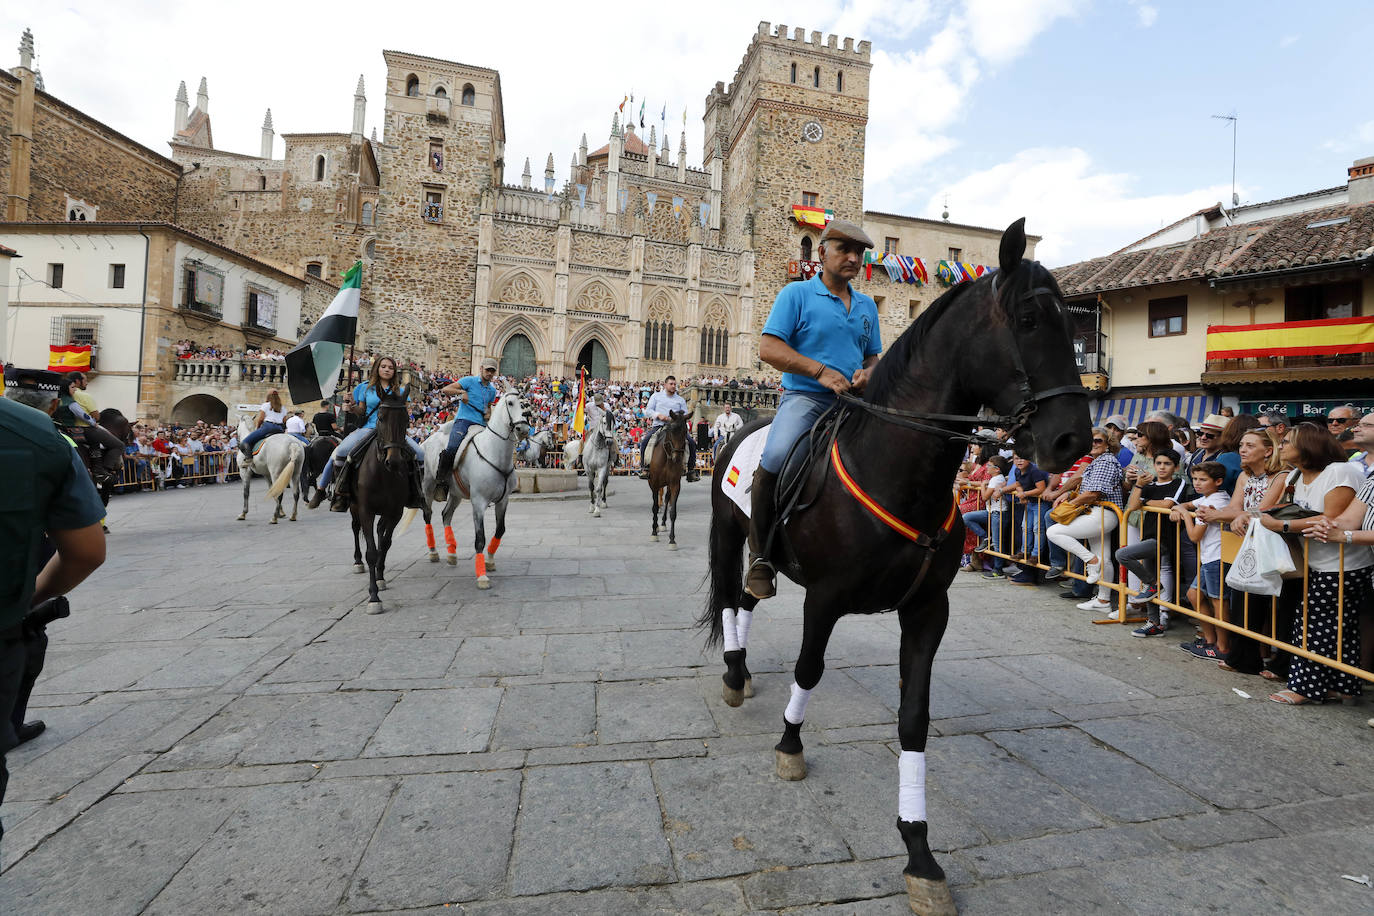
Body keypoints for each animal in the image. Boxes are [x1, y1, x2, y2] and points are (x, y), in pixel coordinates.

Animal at [351, 392, 409, 612]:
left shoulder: (395, 511)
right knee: (355, 527)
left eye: (406, 419)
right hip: (353, 507)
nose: (394, 461)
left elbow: (385, 543)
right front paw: (373, 597)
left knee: (381, 530)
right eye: (381, 417)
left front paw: (380, 577)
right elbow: (371, 552)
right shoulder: (365, 510)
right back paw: (357, 562)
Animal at [414, 392, 527, 587]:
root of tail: (427, 440)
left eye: (526, 405)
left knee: (446, 515)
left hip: (456, 493)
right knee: (428, 515)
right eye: (511, 403)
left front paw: (489, 561)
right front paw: (482, 576)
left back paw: (452, 554)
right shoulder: (479, 502)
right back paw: (434, 552)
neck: (494, 453)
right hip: (428, 485)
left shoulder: (503, 500)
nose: (524, 429)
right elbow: (480, 538)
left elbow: (500, 530)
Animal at [643, 409, 687, 552]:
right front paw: (654, 533)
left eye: (686, 432)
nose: (677, 457)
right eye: (671, 431)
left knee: (667, 499)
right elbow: (655, 507)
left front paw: (672, 540)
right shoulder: (654, 484)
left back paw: (662, 523)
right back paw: (657, 526)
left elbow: (673, 512)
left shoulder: (675, 484)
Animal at [703, 218, 1088, 911]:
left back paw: (741, 671)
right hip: (727, 533)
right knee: (727, 599)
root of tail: (740, 421)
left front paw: (919, 850)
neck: (897, 469)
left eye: (1072, 324)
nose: (1074, 440)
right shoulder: (825, 599)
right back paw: (732, 674)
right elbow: (808, 670)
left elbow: (915, 719)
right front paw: (790, 745)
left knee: (747, 595)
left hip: (765, 559)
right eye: (1026, 319)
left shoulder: (927, 611)